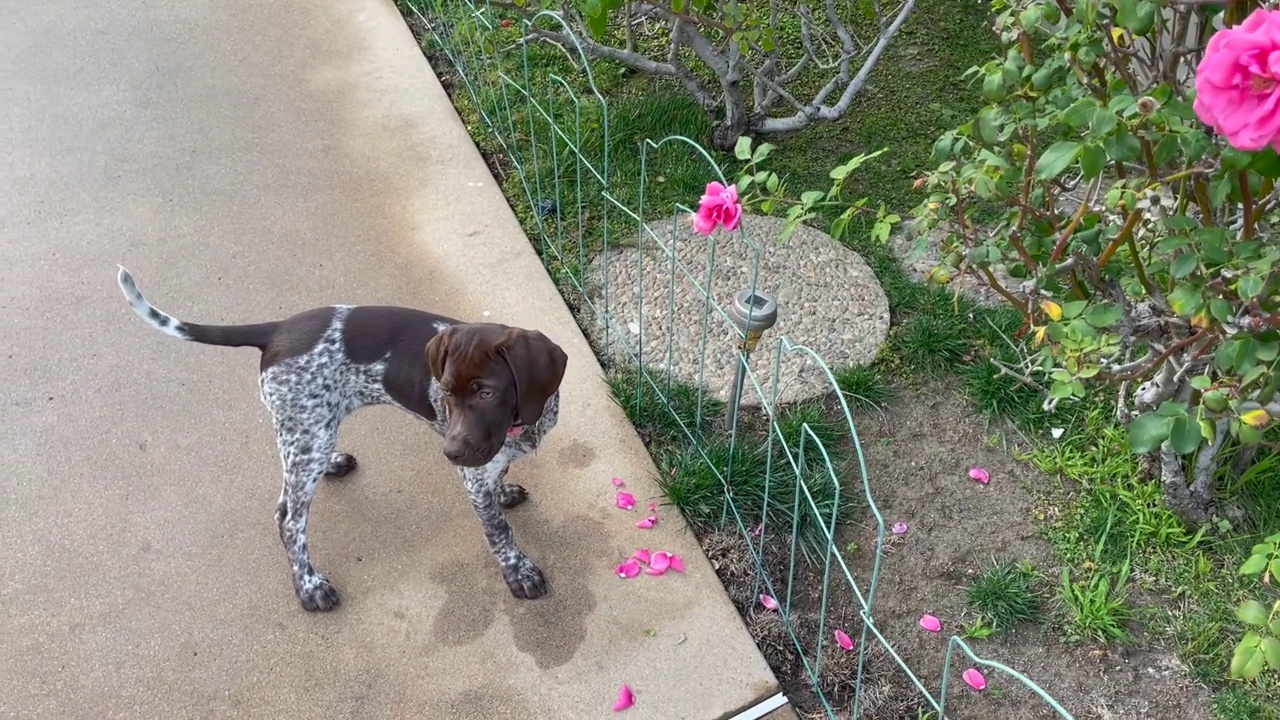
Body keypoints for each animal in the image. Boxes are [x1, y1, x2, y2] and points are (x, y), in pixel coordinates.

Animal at [115, 266, 565, 607]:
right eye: (447, 392)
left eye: (487, 392)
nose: (450, 453)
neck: (521, 423)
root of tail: (277, 329)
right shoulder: (472, 475)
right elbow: (499, 531)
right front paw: (519, 572)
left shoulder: (488, 459)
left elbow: (498, 480)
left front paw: (503, 492)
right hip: (308, 435)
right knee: (287, 518)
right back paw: (309, 586)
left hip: (309, 433)